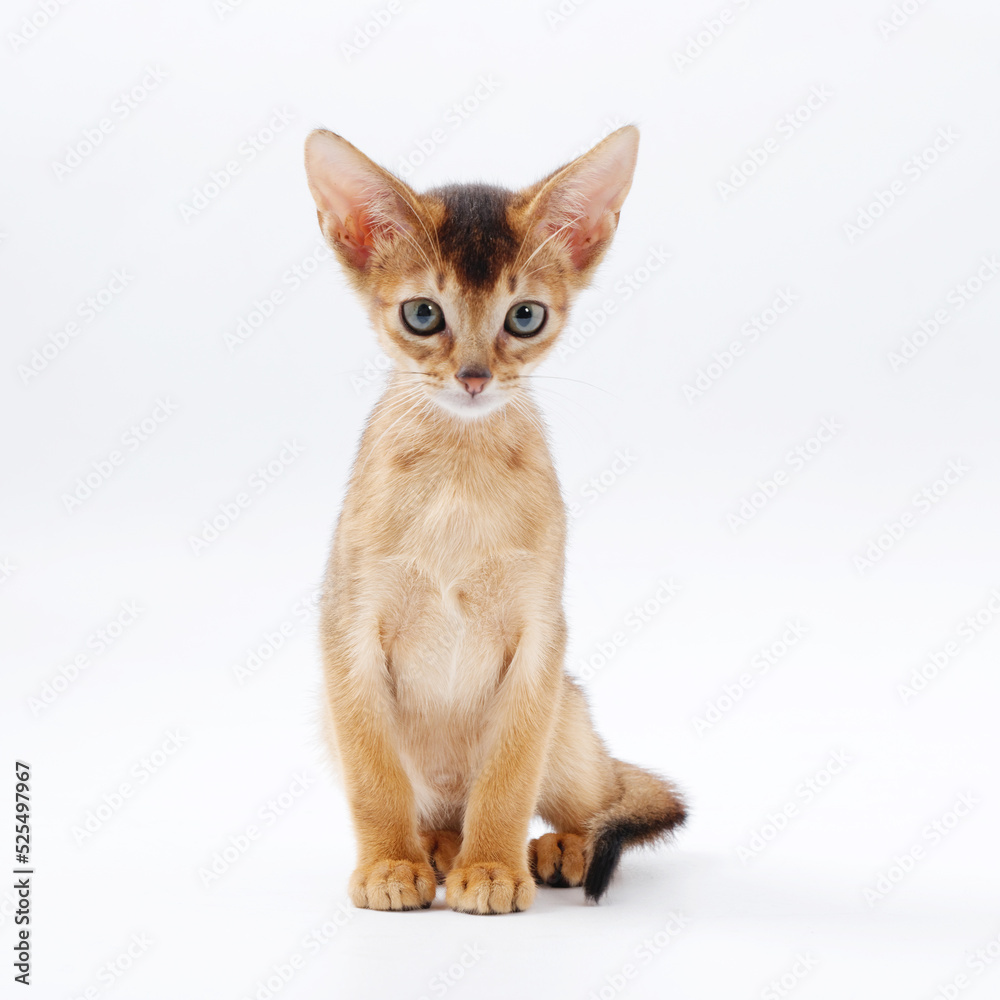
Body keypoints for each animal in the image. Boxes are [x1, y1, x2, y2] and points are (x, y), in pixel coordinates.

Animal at [300, 125, 684, 916]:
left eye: (524, 316)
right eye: (422, 314)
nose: (474, 377)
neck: (458, 477)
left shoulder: (539, 638)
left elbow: (508, 776)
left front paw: (494, 868)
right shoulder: (347, 632)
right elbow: (374, 780)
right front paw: (389, 864)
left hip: (569, 722)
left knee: (604, 796)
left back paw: (553, 848)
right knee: (437, 811)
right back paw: (437, 849)